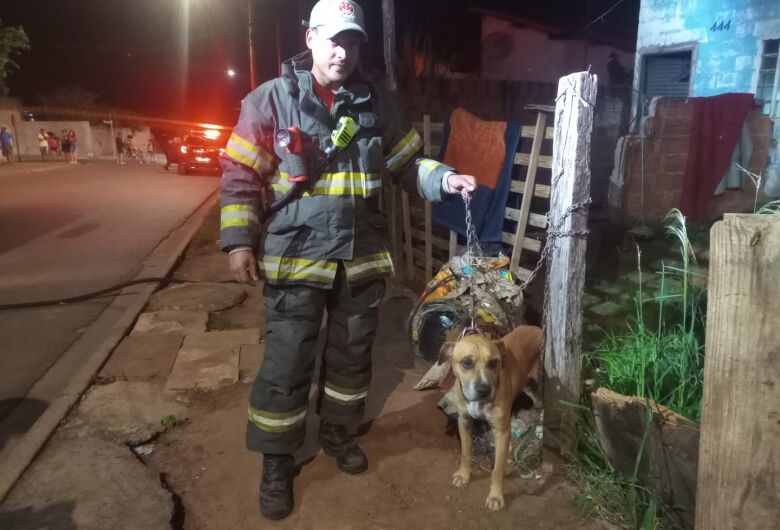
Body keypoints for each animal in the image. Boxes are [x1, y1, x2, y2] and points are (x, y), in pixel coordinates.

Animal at [438, 324, 544, 510]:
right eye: (466, 363)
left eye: (494, 363)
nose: (484, 390)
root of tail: (535, 327)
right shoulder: (464, 421)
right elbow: (465, 453)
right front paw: (464, 475)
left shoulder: (502, 432)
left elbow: (497, 470)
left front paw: (495, 496)